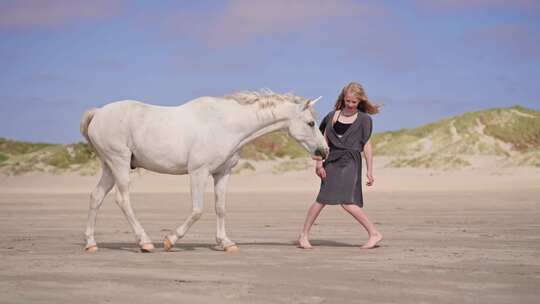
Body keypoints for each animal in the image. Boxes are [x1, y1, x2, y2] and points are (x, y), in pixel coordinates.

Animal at [80, 90, 330, 252]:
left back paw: (91, 243)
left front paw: (226, 243)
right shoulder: (198, 172)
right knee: (123, 200)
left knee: (95, 197)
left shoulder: (222, 173)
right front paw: (171, 240)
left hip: (110, 167)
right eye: (310, 123)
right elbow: (197, 210)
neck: (226, 124)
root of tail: (98, 113)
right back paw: (145, 242)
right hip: (119, 163)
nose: (324, 151)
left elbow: (220, 208)